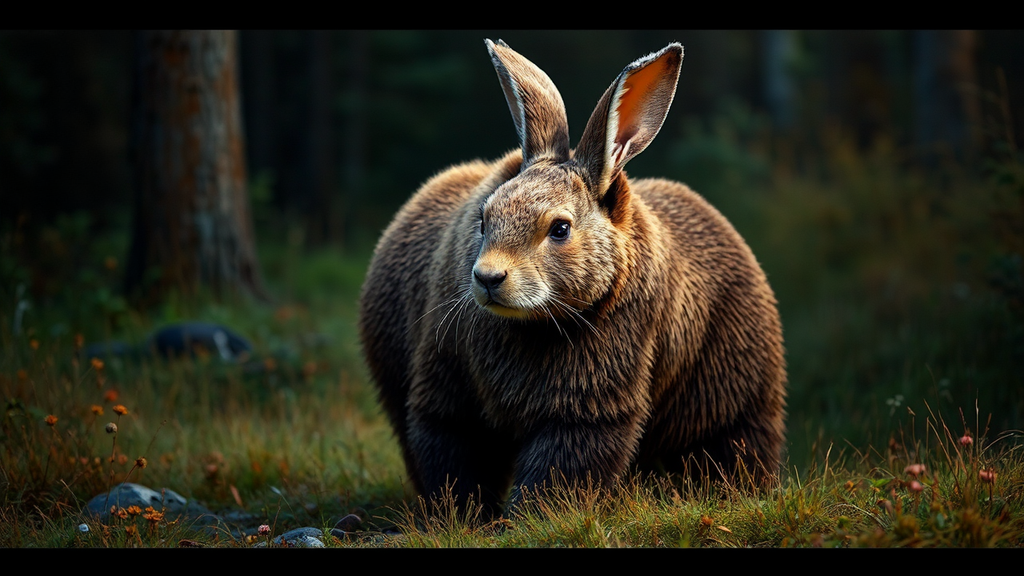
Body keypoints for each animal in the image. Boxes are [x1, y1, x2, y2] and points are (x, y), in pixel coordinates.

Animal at [358, 39, 786, 515]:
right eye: (485, 220)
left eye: (560, 228)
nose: (488, 278)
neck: (538, 325)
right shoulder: (447, 390)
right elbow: (452, 455)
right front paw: (463, 516)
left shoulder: (593, 405)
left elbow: (560, 467)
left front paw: (528, 518)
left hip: (734, 395)